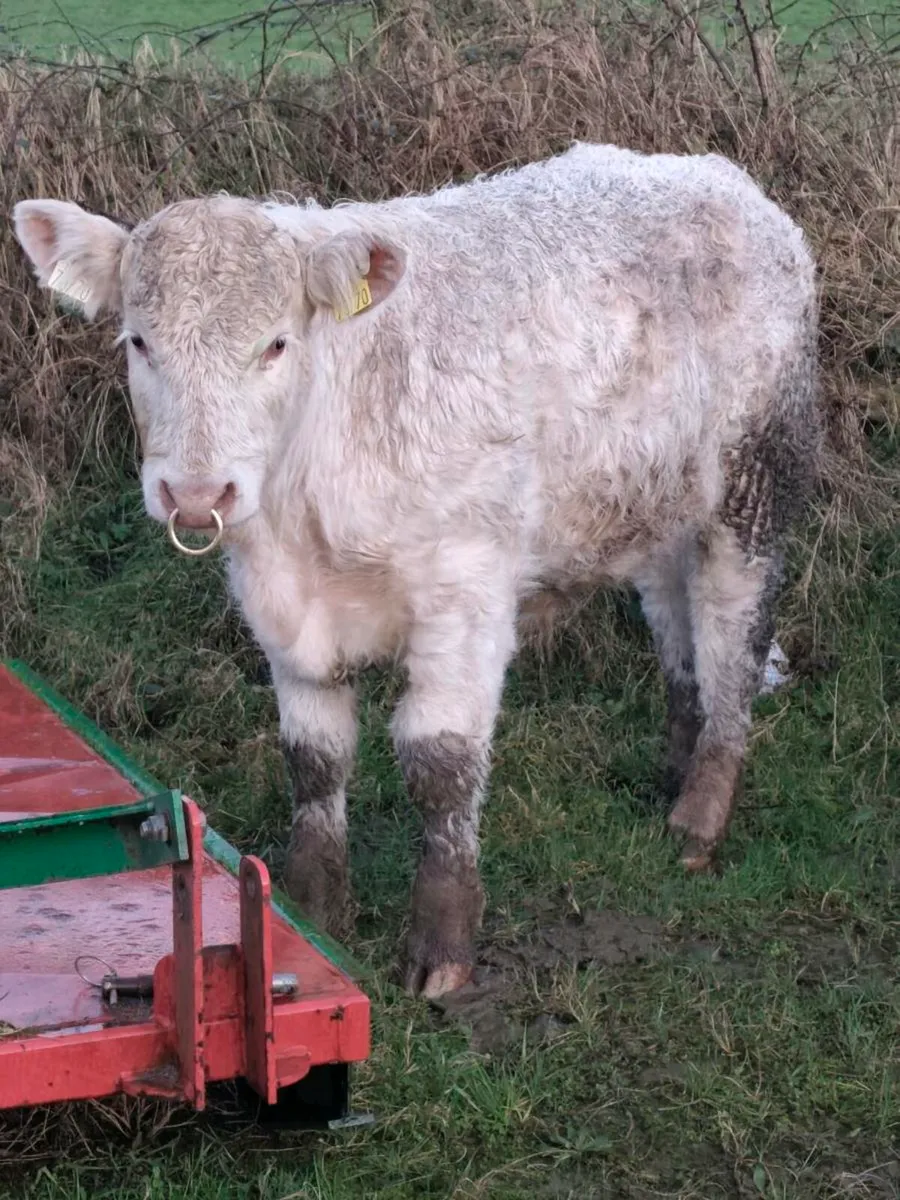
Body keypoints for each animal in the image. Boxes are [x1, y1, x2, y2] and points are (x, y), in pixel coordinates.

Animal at [13, 142, 821, 999]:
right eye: (139, 342)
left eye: (275, 344)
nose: (197, 495)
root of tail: (718, 175)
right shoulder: (279, 604)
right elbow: (313, 756)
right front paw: (308, 911)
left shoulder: (464, 591)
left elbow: (441, 763)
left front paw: (442, 942)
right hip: (654, 503)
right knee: (678, 629)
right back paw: (675, 768)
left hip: (755, 482)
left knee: (733, 638)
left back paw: (701, 813)